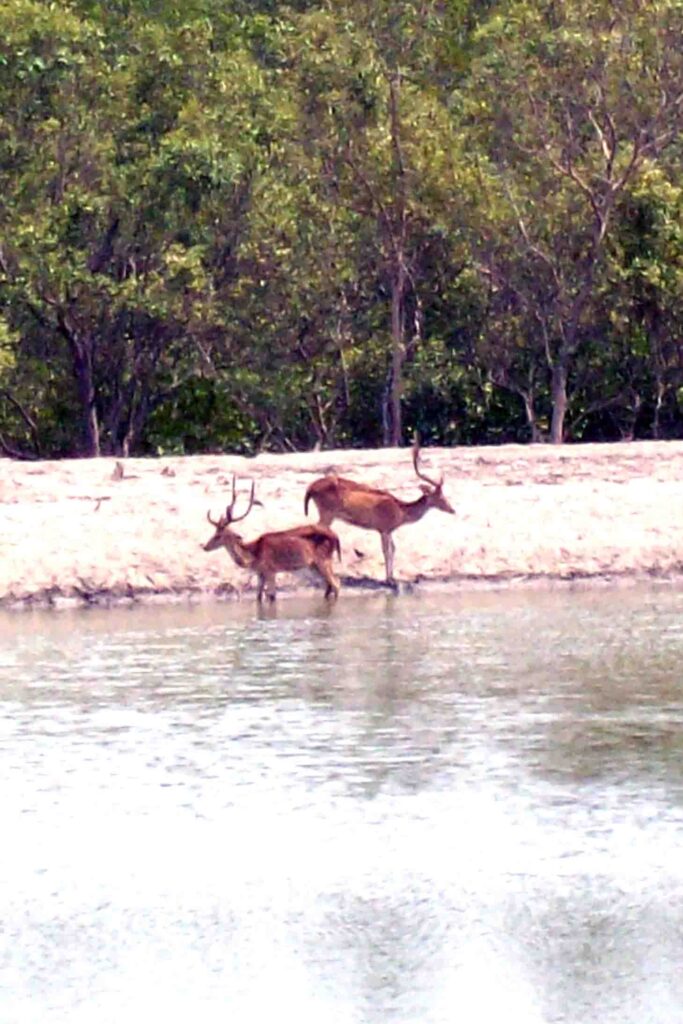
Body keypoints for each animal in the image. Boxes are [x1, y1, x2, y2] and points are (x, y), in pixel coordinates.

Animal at [203, 476, 342, 602]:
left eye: (218, 536)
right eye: (214, 532)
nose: (205, 547)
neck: (254, 555)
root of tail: (335, 536)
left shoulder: (270, 570)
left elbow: (271, 596)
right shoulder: (260, 573)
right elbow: (258, 596)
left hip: (323, 560)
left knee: (336, 584)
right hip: (313, 565)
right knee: (330, 586)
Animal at [304, 438, 454, 584]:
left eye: (444, 495)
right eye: (440, 496)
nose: (452, 510)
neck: (400, 512)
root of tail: (310, 488)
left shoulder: (389, 530)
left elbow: (393, 549)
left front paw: (393, 578)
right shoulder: (383, 528)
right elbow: (386, 551)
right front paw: (388, 580)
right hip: (327, 512)